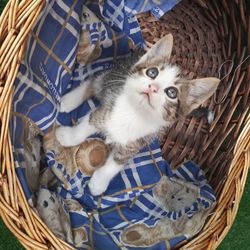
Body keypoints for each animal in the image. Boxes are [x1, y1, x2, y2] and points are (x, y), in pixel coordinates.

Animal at [54, 34, 219, 196]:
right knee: (93, 83)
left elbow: (115, 164)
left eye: (172, 92)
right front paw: (67, 137)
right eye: (152, 72)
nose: (153, 87)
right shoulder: (105, 111)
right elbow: (84, 127)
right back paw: (68, 101)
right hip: (111, 78)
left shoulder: (135, 144)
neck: (134, 113)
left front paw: (98, 183)